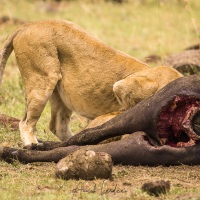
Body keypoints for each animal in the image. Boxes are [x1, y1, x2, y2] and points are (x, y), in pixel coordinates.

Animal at [0, 19, 182, 146]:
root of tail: (26, 25)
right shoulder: (123, 86)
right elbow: (131, 114)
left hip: (59, 91)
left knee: (58, 125)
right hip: (42, 79)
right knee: (25, 123)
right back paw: (32, 144)